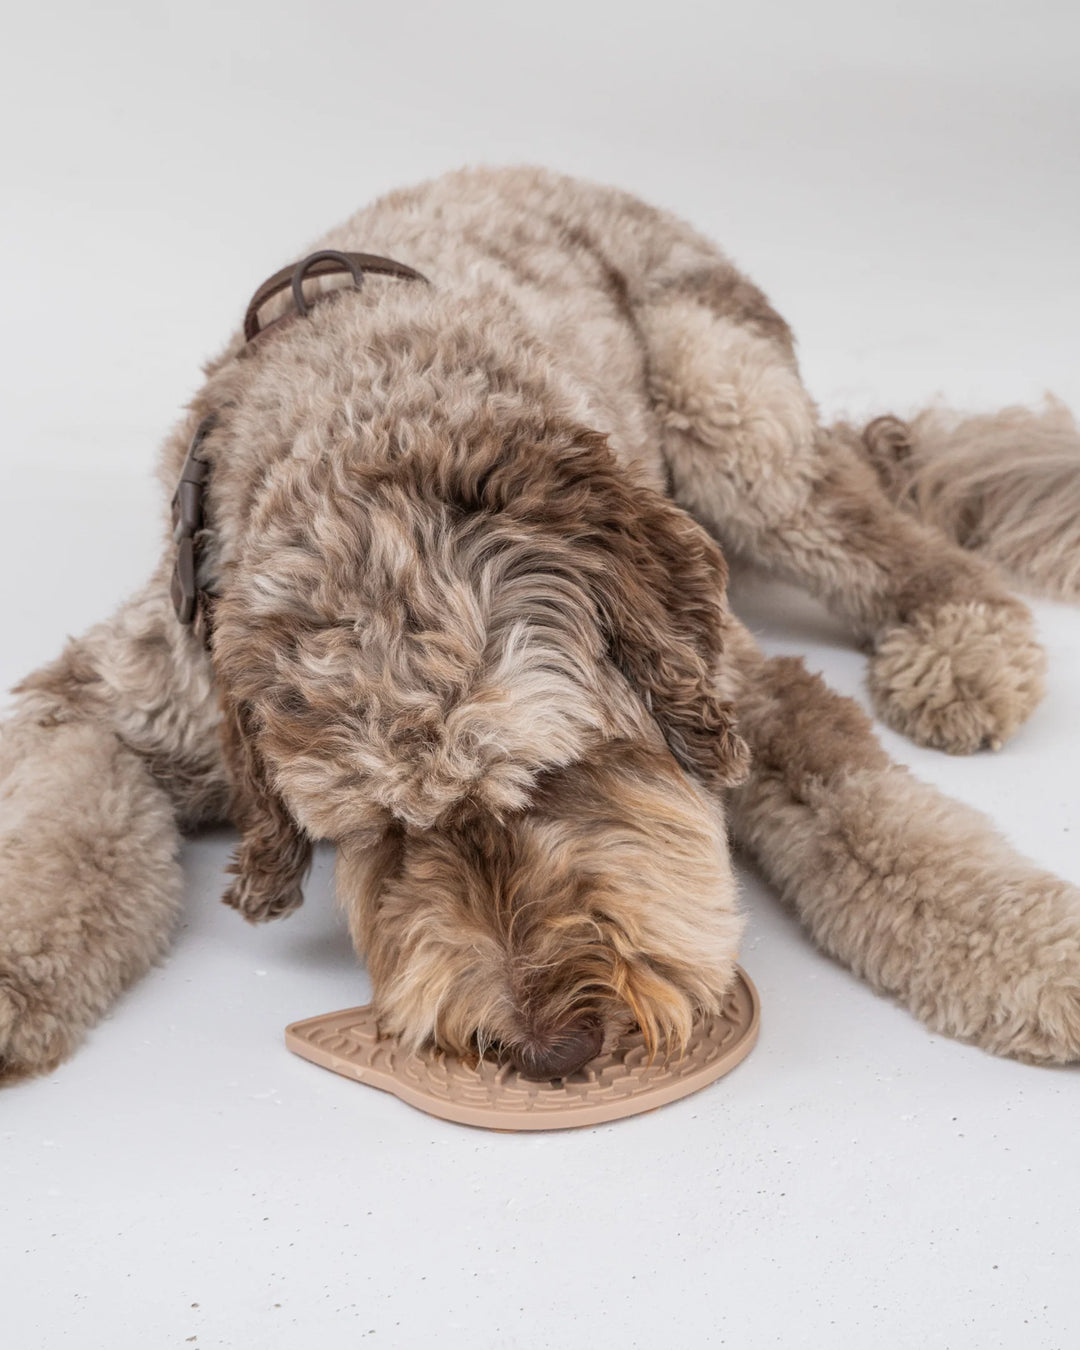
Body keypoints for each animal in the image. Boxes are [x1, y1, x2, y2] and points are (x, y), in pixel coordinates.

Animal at [2, 168, 1080, 1080]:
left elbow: (883, 827)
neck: (364, 415)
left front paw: (1033, 952)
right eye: (383, 834)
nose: (549, 1049)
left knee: (887, 535)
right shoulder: (113, 697)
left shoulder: (743, 691)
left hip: (726, 406)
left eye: (558, 773)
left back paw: (962, 644)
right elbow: (62, 834)